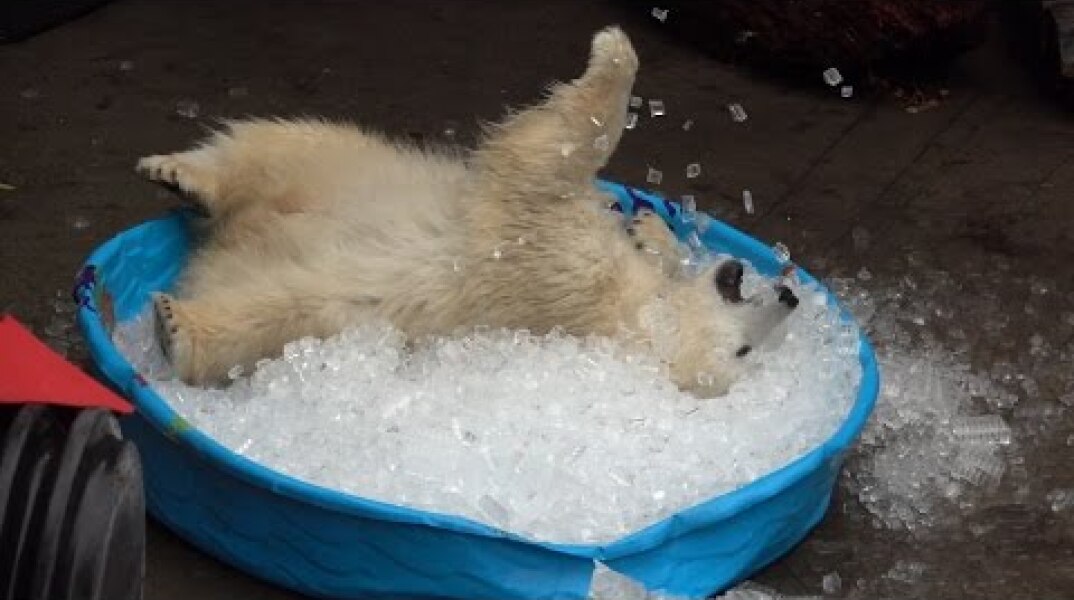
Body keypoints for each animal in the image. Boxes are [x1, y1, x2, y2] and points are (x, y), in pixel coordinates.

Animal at [137, 27, 797, 397]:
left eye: (742, 354)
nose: (790, 294)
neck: (630, 314)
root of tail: (220, 252)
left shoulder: (561, 268)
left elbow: (543, 157)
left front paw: (611, 53)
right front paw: (651, 228)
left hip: (315, 322)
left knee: (263, 314)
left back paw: (176, 326)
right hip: (345, 167)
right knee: (292, 144)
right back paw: (180, 174)